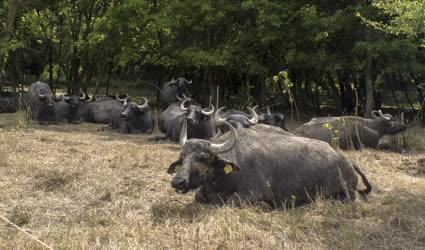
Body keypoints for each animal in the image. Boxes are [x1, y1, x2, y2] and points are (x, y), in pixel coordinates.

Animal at [167, 121, 370, 207]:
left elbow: (232, 201)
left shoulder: (255, 192)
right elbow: (198, 196)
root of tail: (346, 160)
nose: (178, 182)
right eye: (182, 157)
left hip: (346, 194)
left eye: (202, 157)